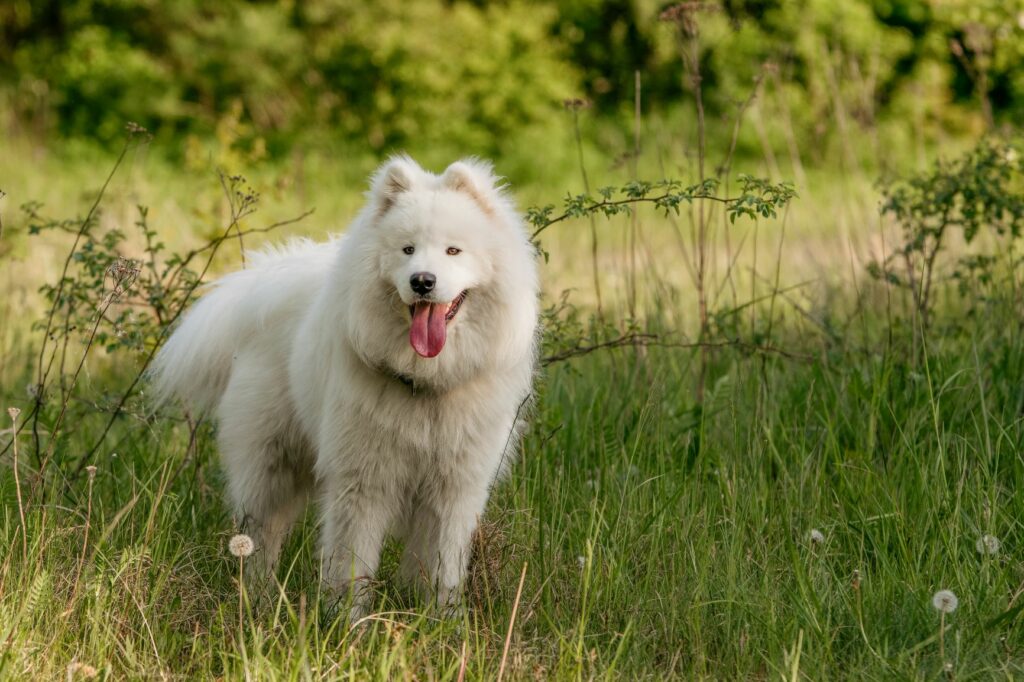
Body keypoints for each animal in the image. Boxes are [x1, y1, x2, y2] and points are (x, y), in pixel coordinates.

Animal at [150, 155, 540, 610]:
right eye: (407, 250)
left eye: (453, 250)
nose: (422, 281)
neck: (425, 384)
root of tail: (265, 288)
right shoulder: (362, 480)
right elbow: (353, 561)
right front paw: (348, 619)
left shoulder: (455, 487)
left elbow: (442, 566)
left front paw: (441, 616)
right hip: (271, 465)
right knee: (261, 536)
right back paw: (258, 598)